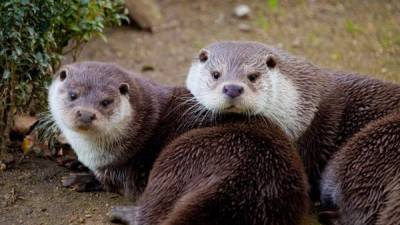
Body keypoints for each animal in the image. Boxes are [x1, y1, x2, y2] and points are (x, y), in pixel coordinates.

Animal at [50, 60, 217, 198]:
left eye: (106, 102)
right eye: (73, 95)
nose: (86, 114)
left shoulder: (131, 170)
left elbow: (114, 182)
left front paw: (79, 179)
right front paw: (73, 161)